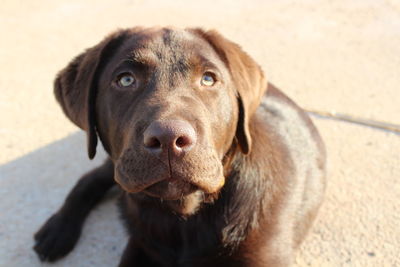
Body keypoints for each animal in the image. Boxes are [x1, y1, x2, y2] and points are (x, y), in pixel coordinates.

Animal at [33, 26, 324, 266]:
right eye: (125, 80)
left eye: (208, 79)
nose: (169, 139)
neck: (182, 217)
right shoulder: (141, 247)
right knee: (91, 177)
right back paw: (57, 231)